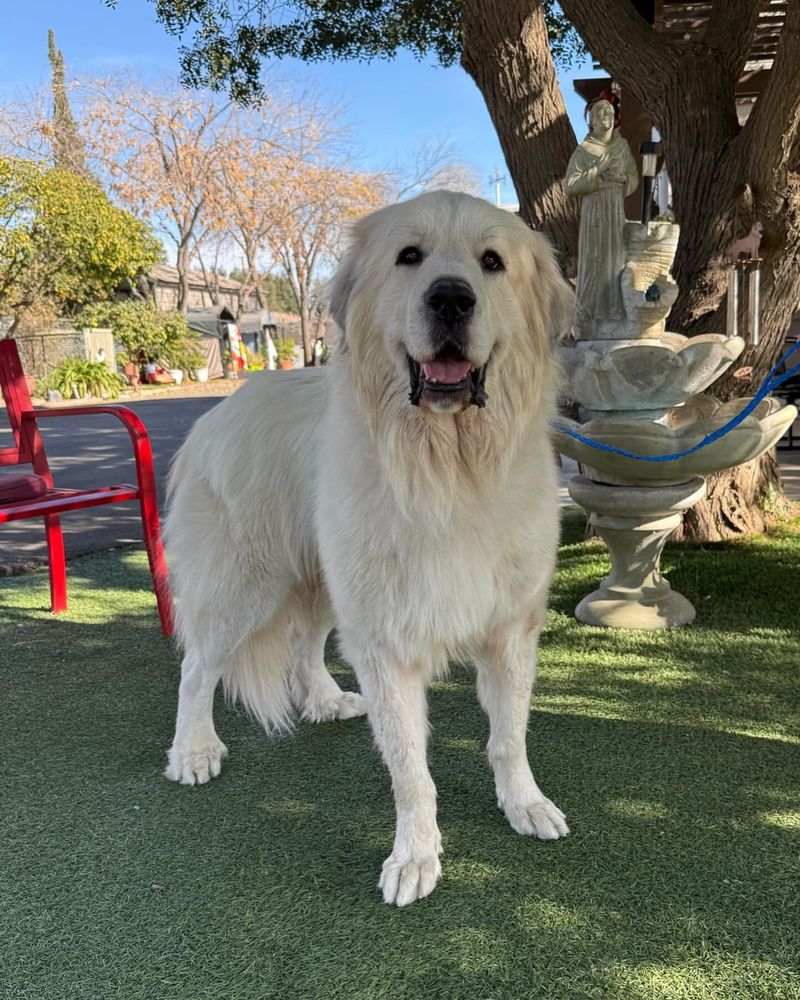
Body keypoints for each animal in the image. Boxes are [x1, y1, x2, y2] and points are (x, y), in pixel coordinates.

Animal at [164, 188, 576, 908]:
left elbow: (509, 736)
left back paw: (326, 701)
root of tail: (215, 413)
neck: (448, 471)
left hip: (322, 581)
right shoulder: (386, 642)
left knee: (303, 644)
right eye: (409, 256)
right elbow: (412, 771)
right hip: (246, 585)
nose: (451, 298)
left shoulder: (510, 630)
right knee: (198, 667)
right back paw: (193, 750)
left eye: (491, 262)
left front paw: (524, 804)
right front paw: (415, 858)